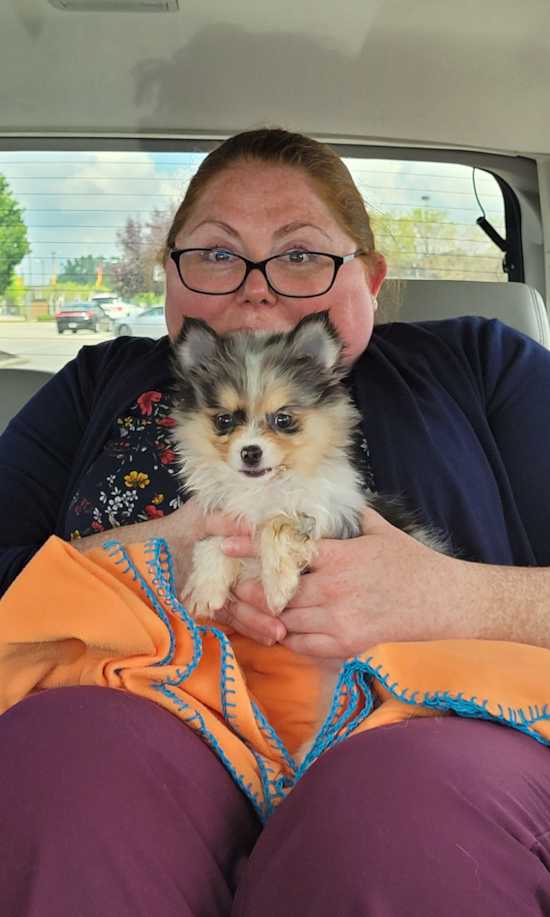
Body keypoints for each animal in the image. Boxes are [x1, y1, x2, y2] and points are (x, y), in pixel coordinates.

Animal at [172, 312, 448, 764]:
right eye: (224, 421)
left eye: (284, 419)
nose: (250, 452)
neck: (265, 489)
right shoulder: (229, 518)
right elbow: (214, 541)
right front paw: (206, 589)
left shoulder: (334, 518)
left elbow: (280, 523)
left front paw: (278, 585)